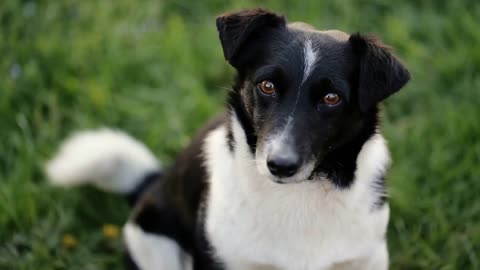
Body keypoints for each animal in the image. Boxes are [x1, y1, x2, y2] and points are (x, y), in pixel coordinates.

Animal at [47, 8, 408, 270]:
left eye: (332, 98)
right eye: (267, 86)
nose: (280, 166)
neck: (298, 195)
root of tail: (153, 184)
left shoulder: (365, 259)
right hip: (154, 245)